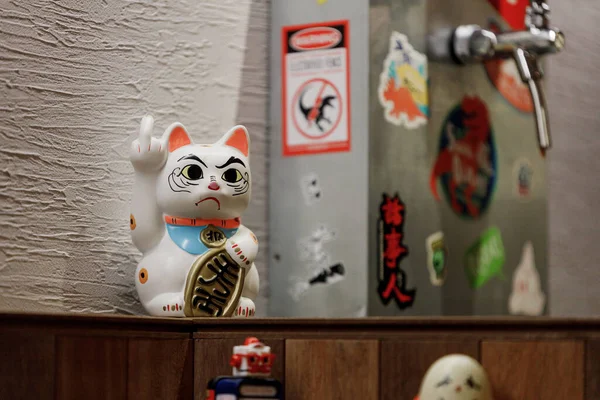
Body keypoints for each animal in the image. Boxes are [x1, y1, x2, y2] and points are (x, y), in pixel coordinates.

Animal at [127, 115, 258, 318]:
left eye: (231, 175)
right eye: (193, 172)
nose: (214, 186)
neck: (204, 221)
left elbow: (251, 235)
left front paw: (239, 250)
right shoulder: (149, 233)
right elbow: (142, 228)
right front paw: (148, 151)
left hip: (253, 280)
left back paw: (244, 307)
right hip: (149, 276)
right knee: (155, 300)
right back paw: (170, 305)